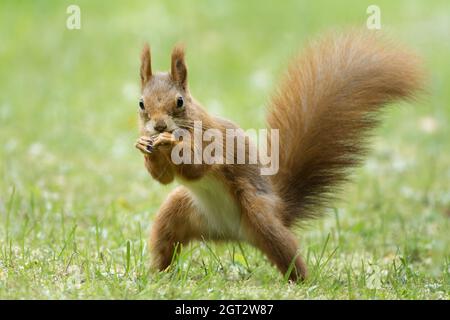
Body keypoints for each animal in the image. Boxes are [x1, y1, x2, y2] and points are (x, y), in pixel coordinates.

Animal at [134, 30, 422, 280]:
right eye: (141, 104)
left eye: (179, 102)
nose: (159, 126)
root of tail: (232, 233)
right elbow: (163, 178)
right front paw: (146, 146)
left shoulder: (212, 141)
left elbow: (197, 166)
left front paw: (170, 142)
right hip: (177, 212)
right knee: (165, 241)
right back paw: (156, 275)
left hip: (259, 214)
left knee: (286, 250)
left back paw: (301, 281)